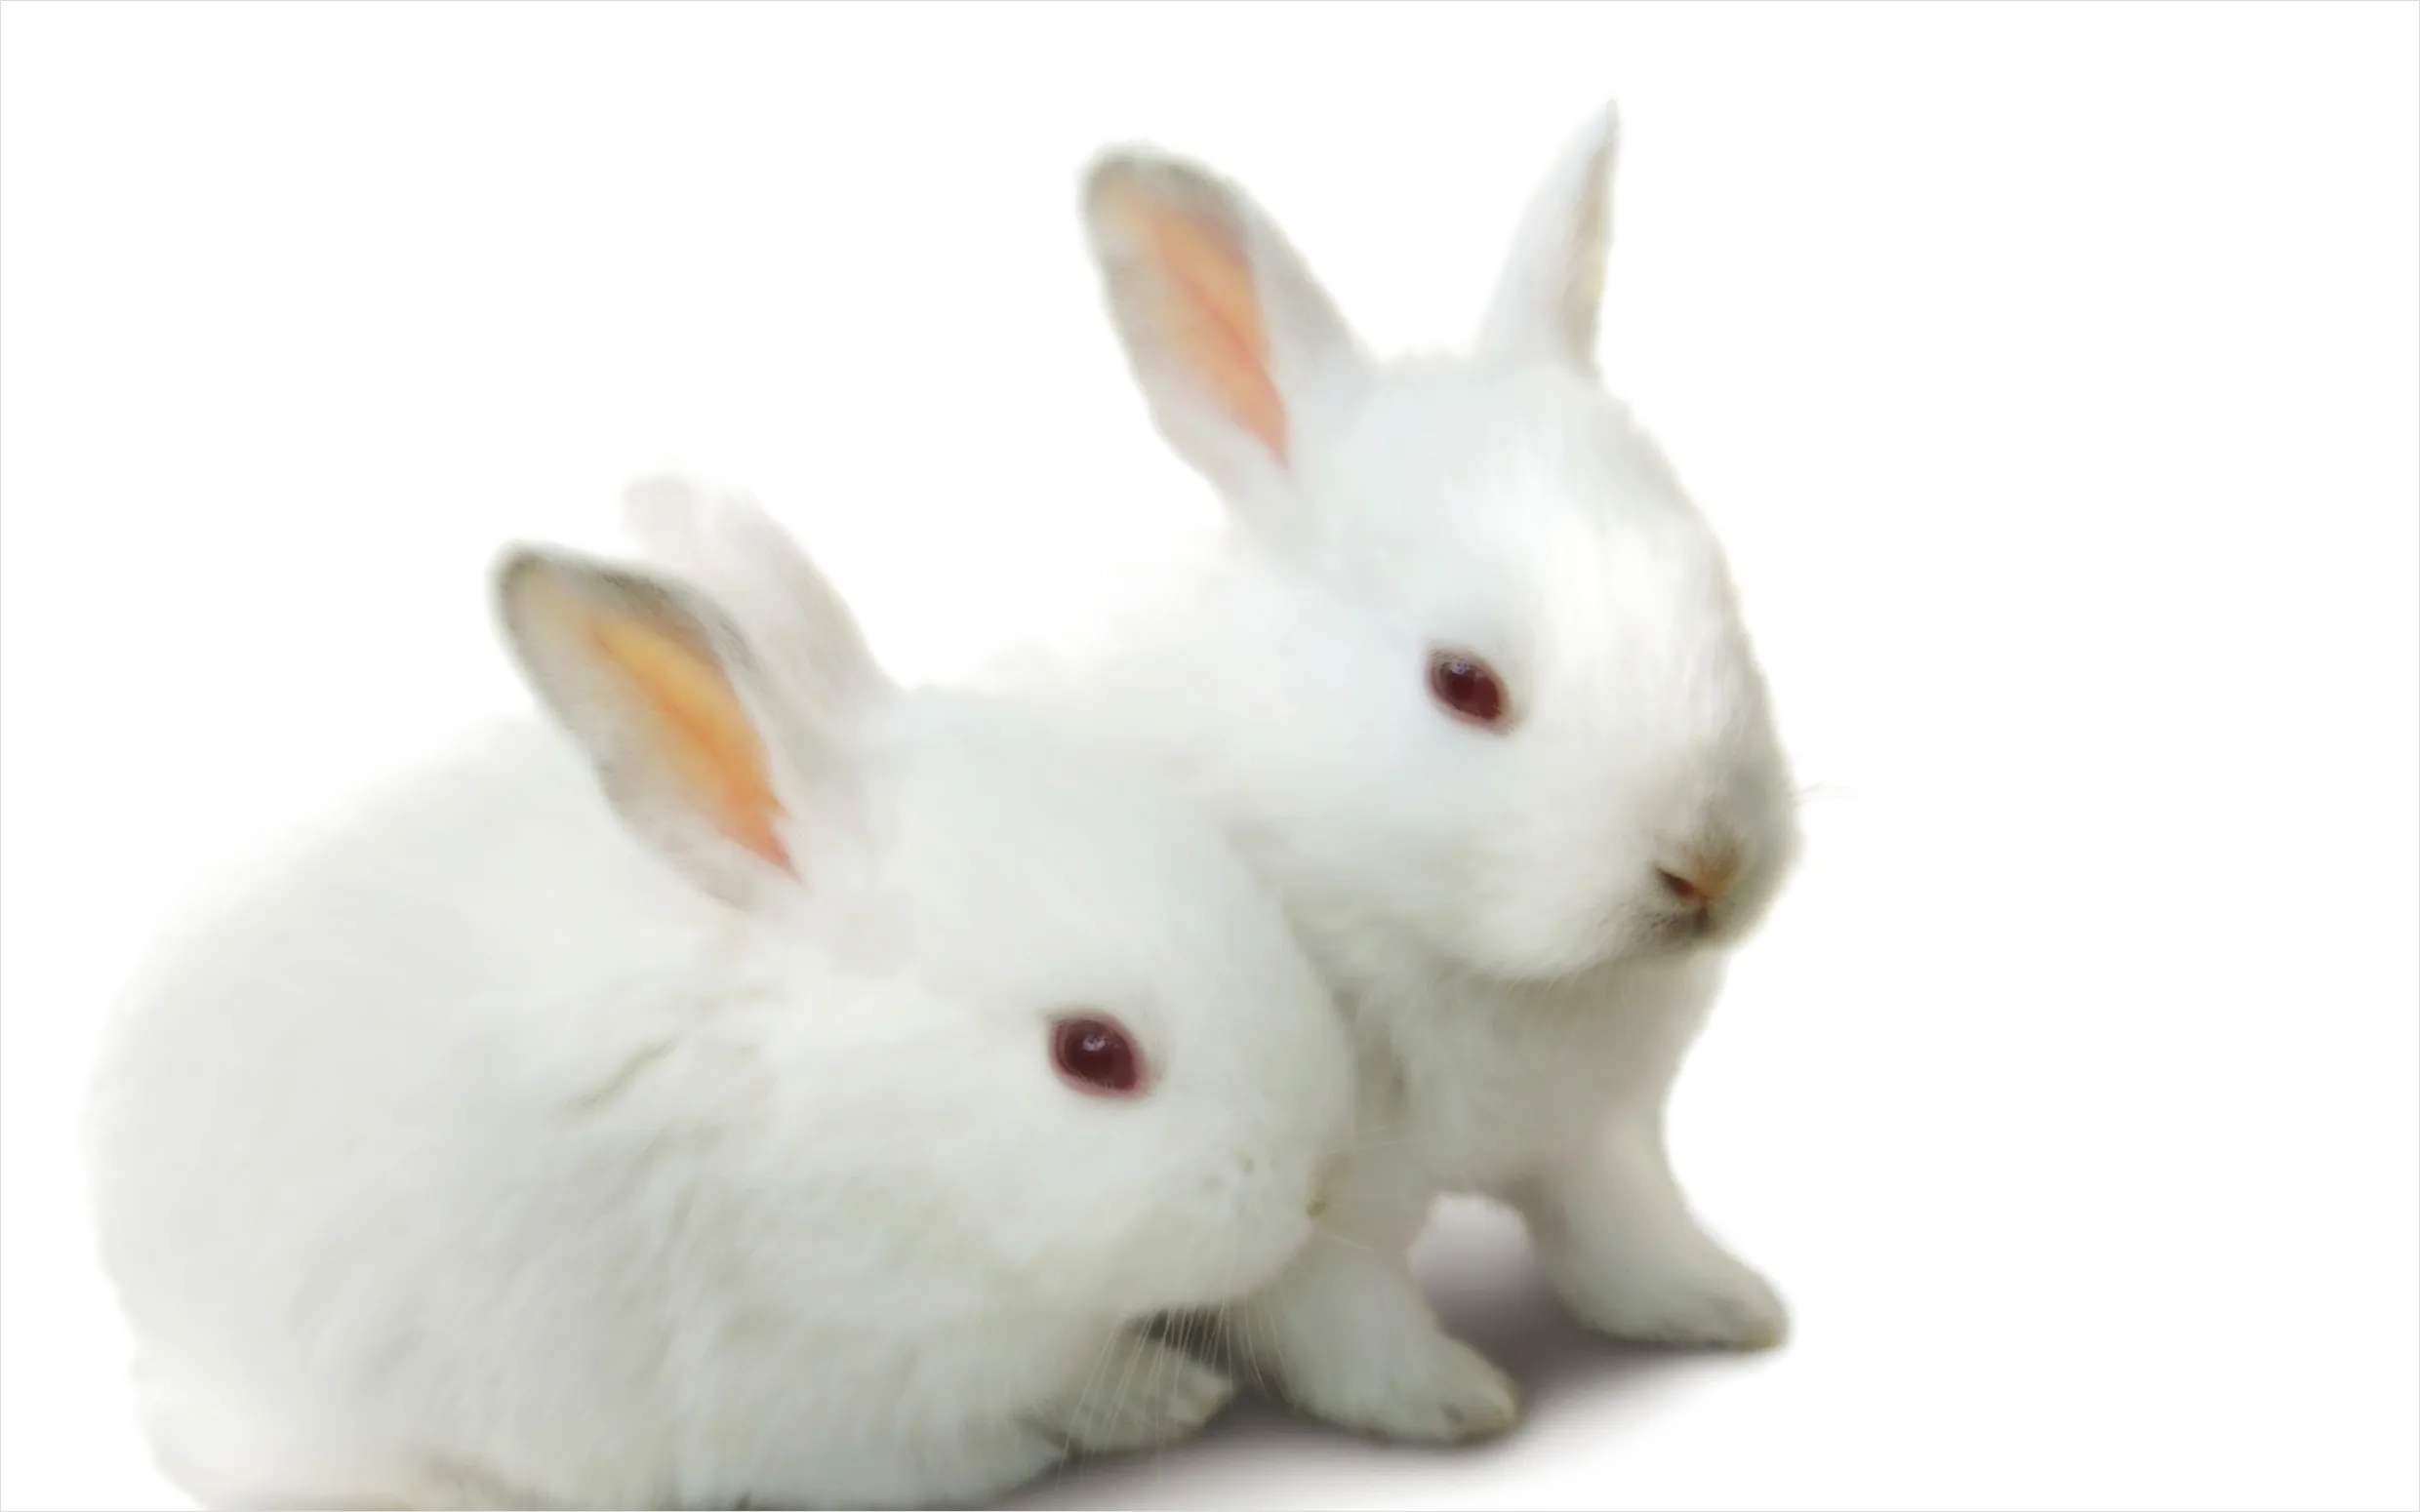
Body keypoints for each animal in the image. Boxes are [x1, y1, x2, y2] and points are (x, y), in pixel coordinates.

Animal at [77, 469, 1359, 1511]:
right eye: (1093, 1052)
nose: (1312, 1188)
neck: (841, 1119)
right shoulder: (816, 1405)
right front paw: (1138, 1412)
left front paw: (1169, 1393)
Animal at [956, 100, 1806, 1444]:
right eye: (1463, 682)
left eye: (1715, 592)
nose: (1705, 864)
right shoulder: (1311, 1212)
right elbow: (1344, 1321)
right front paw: (1453, 1403)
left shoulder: (1595, 1134)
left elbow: (1621, 1234)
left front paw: (1721, 1306)